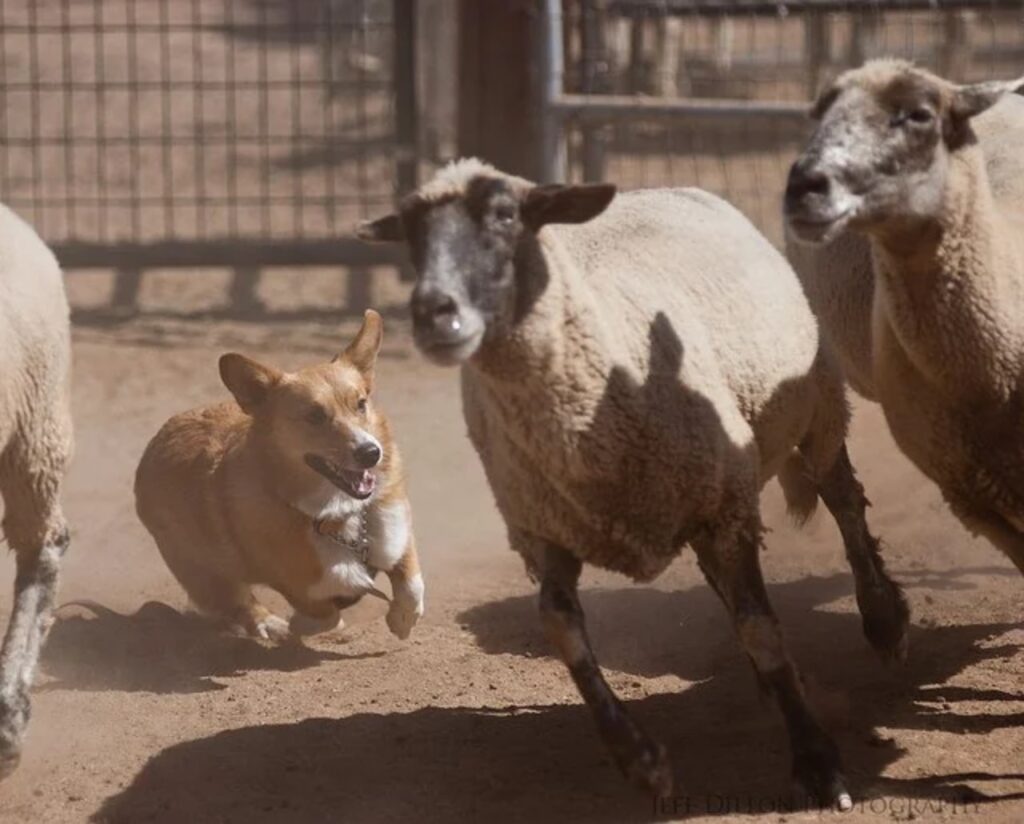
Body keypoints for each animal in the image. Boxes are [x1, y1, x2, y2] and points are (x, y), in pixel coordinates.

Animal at [358, 158, 908, 806]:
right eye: (412, 235)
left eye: (505, 215)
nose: (432, 313)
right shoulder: (545, 530)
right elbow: (563, 630)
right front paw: (639, 760)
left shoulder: (721, 505)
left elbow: (761, 629)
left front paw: (817, 762)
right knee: (726, 577)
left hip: (816, 404)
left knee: (842, 499)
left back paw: (884, 619)